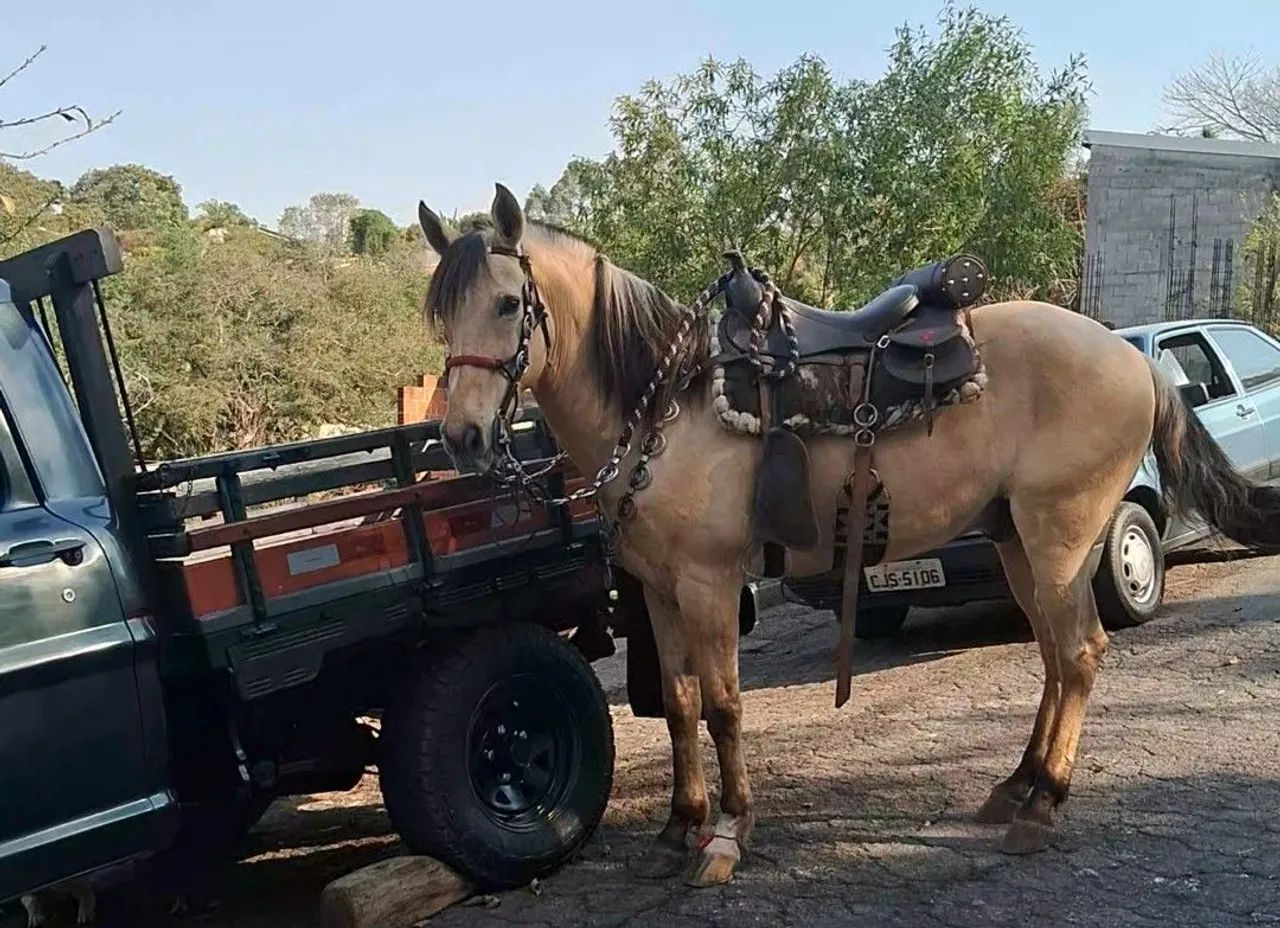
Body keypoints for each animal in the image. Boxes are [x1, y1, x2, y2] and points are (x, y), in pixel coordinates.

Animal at [416, 183, 1280, 887]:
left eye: (507, 304)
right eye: (440, 314)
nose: (461, 438)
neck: (668, 402)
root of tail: (1135, 360)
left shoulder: (708, 582)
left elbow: (724, 705)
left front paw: (727, 836)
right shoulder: (657, 588)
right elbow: (682, 704)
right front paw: (676, 829)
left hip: (1061, 537)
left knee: (1080, 652)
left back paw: (1044, 806)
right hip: (1016, 541)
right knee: (1052, 657)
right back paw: (1017, 787)